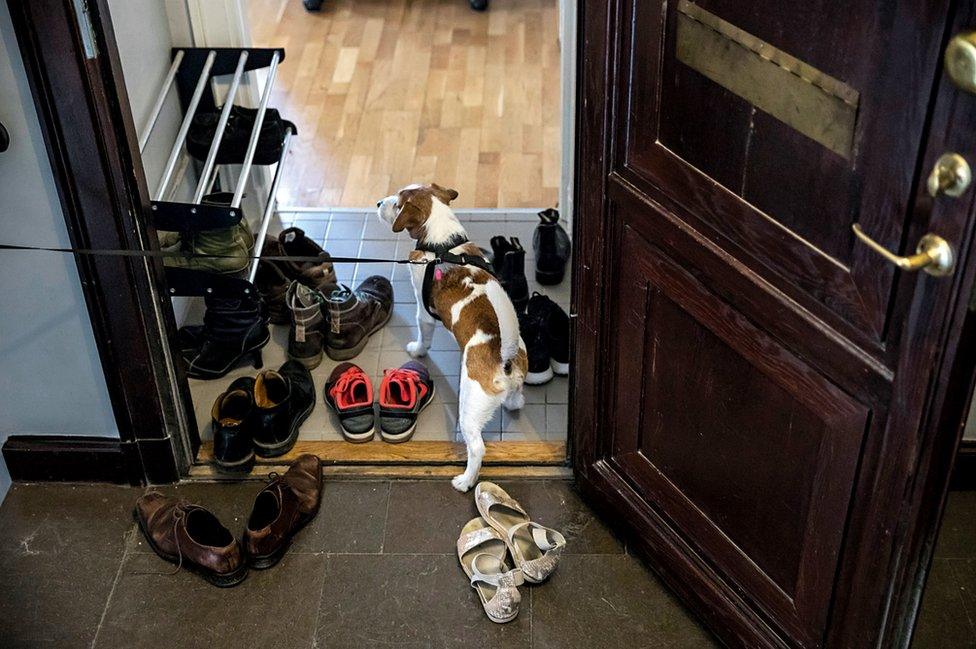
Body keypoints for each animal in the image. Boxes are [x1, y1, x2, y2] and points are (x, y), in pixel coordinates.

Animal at [376, 182, 528, 492]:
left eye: (396, 204)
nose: (376, 203)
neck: (443, 245)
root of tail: (505, 359)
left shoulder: (423, 310)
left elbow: (423, 332)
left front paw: (417, 349)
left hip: (469, 408)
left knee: (477, 447)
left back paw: (465, 480)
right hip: (515, 384)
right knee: (516, 400)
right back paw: (513, 402)